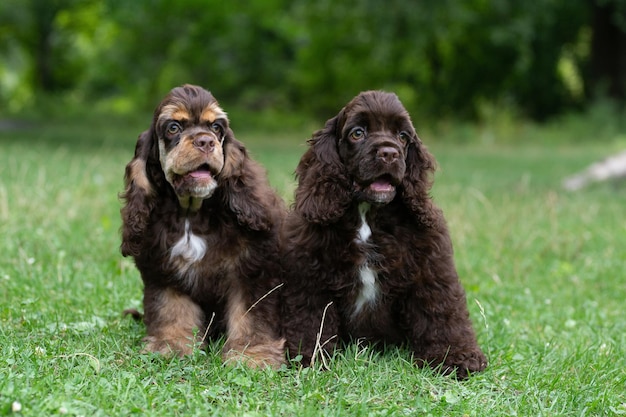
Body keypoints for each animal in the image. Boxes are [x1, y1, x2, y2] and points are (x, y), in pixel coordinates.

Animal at [120, 83, 286, 368]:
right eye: (173, 127)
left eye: (216, 127)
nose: (206, 141)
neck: (191, 214)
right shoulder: (164, 271)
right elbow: (171, 310)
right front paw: (172, 345)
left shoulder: (251, 270)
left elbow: (251, 315)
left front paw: (252, 355)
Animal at [280, 90, 488, 376]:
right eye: (357, 133)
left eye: (403, 136)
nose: (389, 153)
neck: (368, 216)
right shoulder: (310, 272)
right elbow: (311, 318)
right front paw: (309, 357)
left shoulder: (430, 266)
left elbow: (442, 311)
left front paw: (457, 357)